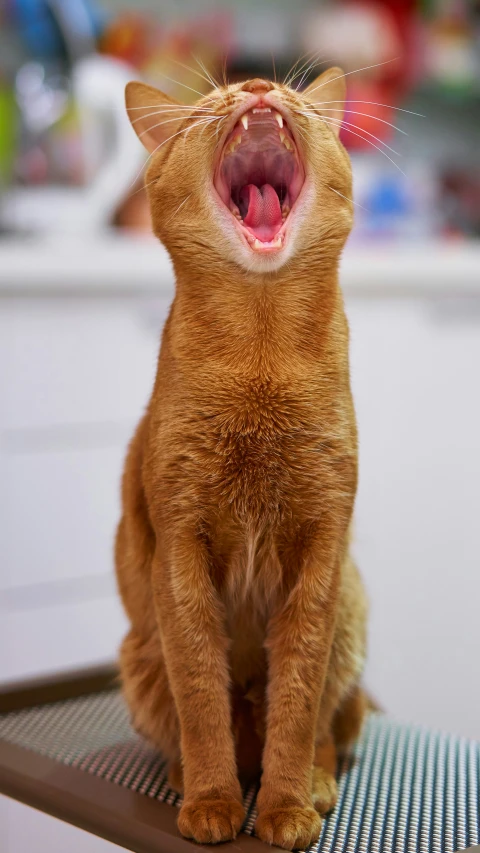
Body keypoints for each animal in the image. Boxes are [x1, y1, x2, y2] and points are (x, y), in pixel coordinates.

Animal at [117, 70, 368, 848]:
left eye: (300, 97)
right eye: (205, 107)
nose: (258, 83)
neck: (261, 358)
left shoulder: (322, 553)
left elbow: (298, 699)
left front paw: (285, 808)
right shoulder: (179, 550)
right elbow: (201, 696)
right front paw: (211, 800)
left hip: (353, 612)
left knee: (329, 724)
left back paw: (316, 781)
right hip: (138, 657)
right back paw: (183, 777)